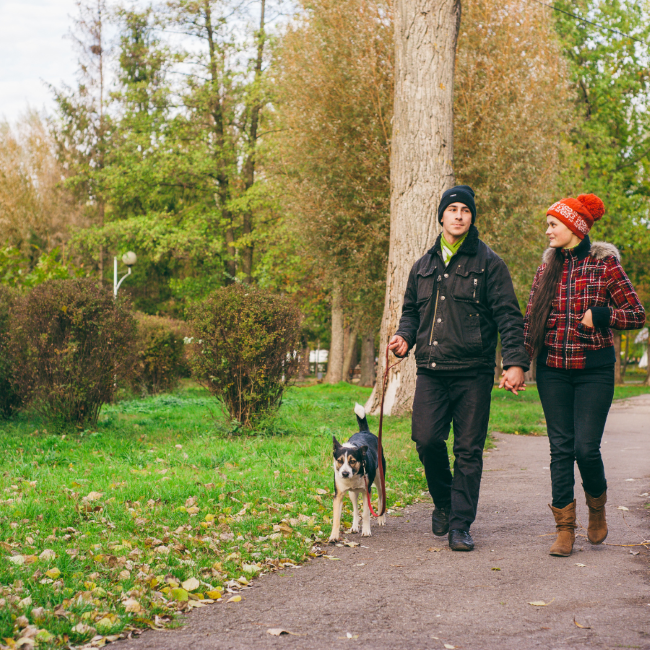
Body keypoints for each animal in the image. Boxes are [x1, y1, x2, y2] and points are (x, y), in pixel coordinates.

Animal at [330, 402, 384, 540]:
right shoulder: (338, 494)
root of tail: (365, 432)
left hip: (380, 479)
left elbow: (366, 513)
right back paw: (354, 527)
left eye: (353, 461)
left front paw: (366, 531)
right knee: (355, 509)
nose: (344, 473)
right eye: (339, 460)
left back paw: (381, 519)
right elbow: (336, 518)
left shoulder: (366, 491)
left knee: (381, 498)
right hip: (352, 493)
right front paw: (333, 536)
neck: (353, 477)